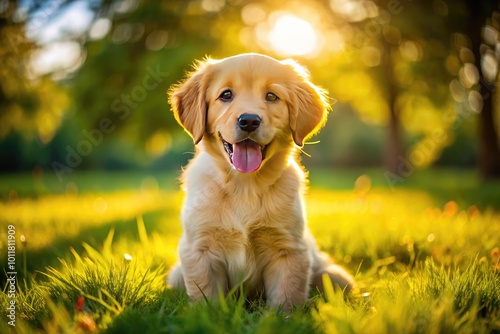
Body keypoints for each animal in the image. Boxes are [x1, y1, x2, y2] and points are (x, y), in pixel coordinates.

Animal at [168, 52, 356, 310]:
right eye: (226, 95)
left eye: (271, 96)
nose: (248, 121)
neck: (244, 185)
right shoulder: (199, 249)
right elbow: (206, 298)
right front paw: (207, 315)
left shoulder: (288, 250)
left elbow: (286, 298)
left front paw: (282, 316)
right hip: (176, 274)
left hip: (335, 276)